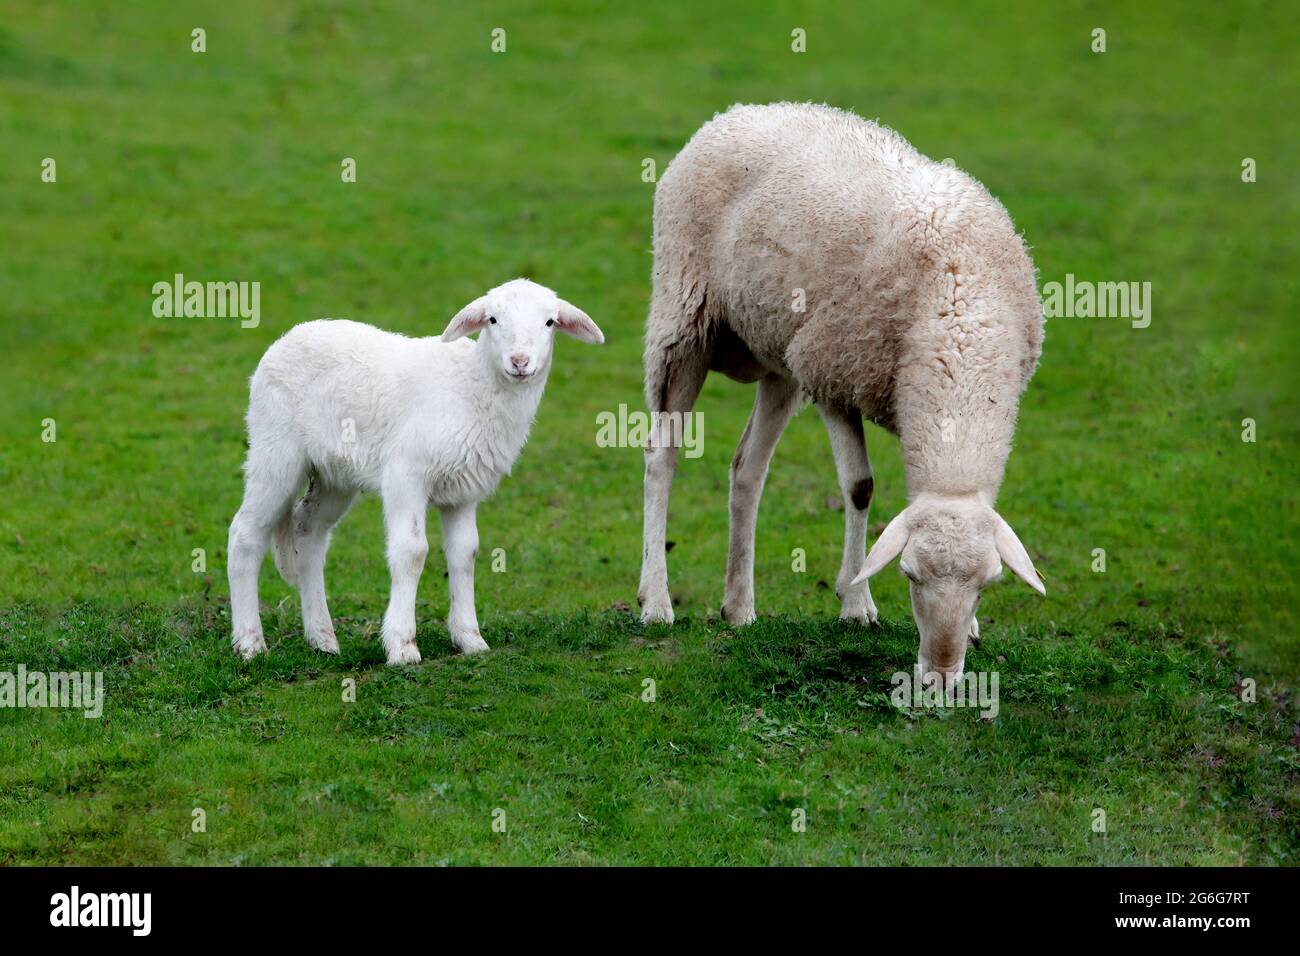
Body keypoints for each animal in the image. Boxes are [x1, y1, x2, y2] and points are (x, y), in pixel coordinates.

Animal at [227, 278, 604, 665]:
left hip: (334, 474)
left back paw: (322, 639)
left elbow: (465, 553)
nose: (520, 362)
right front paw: (402, 645)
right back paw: (250, 643)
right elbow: (411, 551)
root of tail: (287, 338)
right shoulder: (405, 474)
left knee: (309, 532)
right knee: (245, 534)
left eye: (549, 322)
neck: (473, 386)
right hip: (275, 451)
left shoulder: (463, 490)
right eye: (493, 319)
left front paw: (470, 639)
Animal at [637, 102, 1046, 689]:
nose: (940, 679)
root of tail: (737, 112)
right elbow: (860, 488)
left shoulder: (814, 365)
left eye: (986, 585)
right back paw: (656, 601)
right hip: (685, 319)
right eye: (909, 575)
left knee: (747, 469)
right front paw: (856, 603)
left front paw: (969, 632)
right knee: (661, 457)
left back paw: (739, 608)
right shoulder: (833, 375)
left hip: (780, 355)